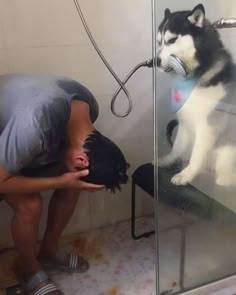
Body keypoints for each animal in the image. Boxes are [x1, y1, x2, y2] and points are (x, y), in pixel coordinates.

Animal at [158, 3, 236, 186]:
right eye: (159, 42)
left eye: (172, 40)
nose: (155, 61)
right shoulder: (185, 120)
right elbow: (177, 147)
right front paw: (167, 161)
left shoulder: (207, 128)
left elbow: (196, 155)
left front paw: (186, 175)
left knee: (224, 177)